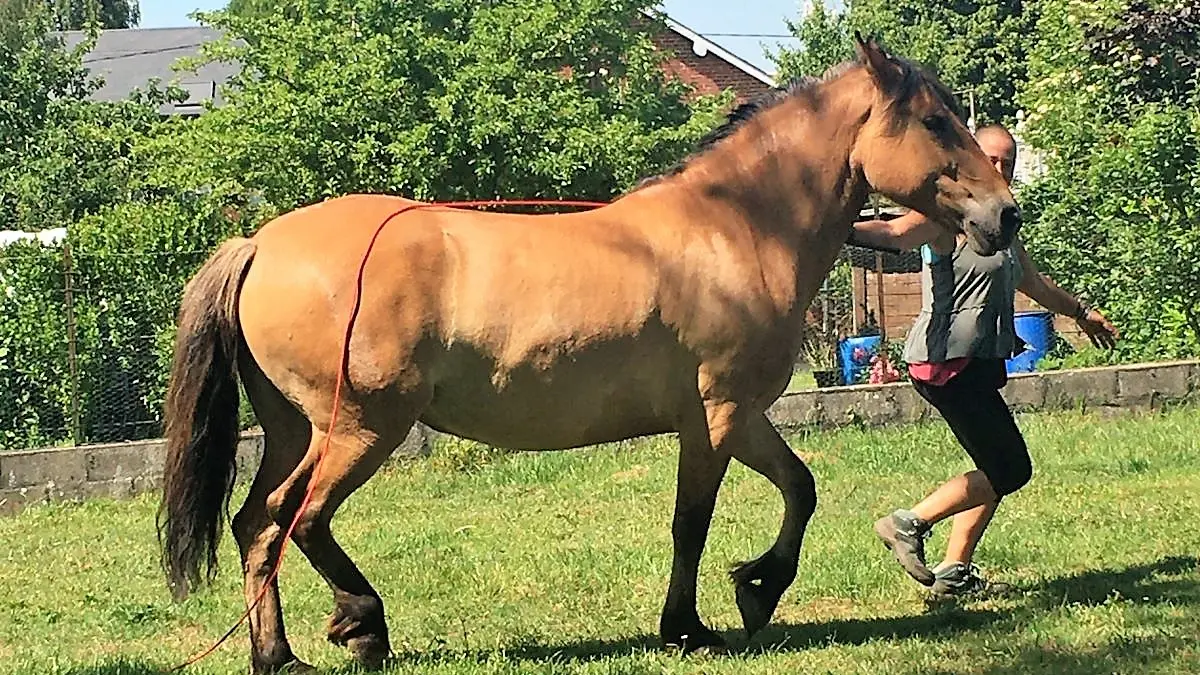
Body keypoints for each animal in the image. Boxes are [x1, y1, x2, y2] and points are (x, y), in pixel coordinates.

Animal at [162, 38, 1022, 672]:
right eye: (936, 123)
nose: (1005, 215)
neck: (734, 229)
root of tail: (260, 242)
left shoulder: (738, 415)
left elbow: (800, 488)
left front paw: (757, 588)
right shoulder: (715, 417)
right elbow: (690, 521)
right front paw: (689, 626)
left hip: (295, 430)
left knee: (256, 525)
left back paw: (278, 656)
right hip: (360, 429)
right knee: (298, 518)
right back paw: (362, 625)